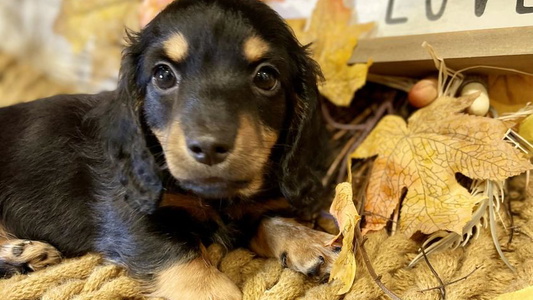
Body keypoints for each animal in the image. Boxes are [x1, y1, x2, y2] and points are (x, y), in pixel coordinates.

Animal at [0, 0, 336, 298]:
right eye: (163, 75)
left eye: (266, 77)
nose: (209, 147)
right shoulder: (127, 211)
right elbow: (181, 258)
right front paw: (211, 288)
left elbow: (269, 219)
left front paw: (311, 242)